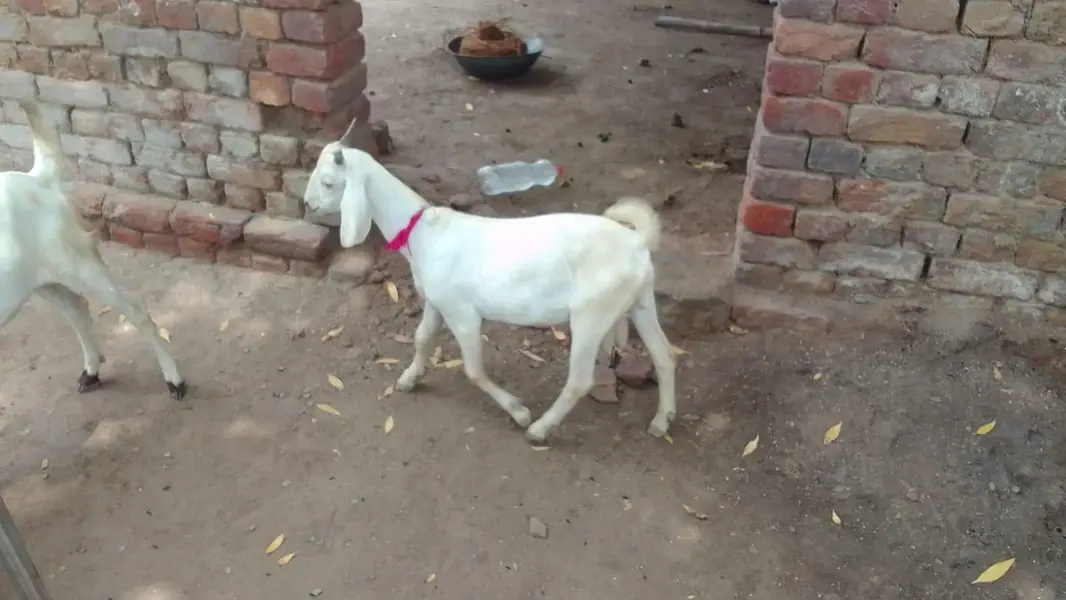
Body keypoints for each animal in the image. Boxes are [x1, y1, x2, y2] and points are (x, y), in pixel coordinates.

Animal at [0, 102, 186, 399]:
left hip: (78, 261)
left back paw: (174, 380)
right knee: (77, 307)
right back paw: (91, 372)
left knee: (135, 310)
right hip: (38, 281)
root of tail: (37, 178)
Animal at [302, 131, 676, 442]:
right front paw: (409, 379)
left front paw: (519, 411)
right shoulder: (436, 301)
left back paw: (540, 429)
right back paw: (662, 420)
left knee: (580, 380)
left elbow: (474, 370)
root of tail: (637, 242)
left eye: (329, 182)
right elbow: (422, 338)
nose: (307, 205)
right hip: (638, 301)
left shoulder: (463, 313)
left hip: (592, 313)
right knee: (664, 355)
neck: (424, 233)